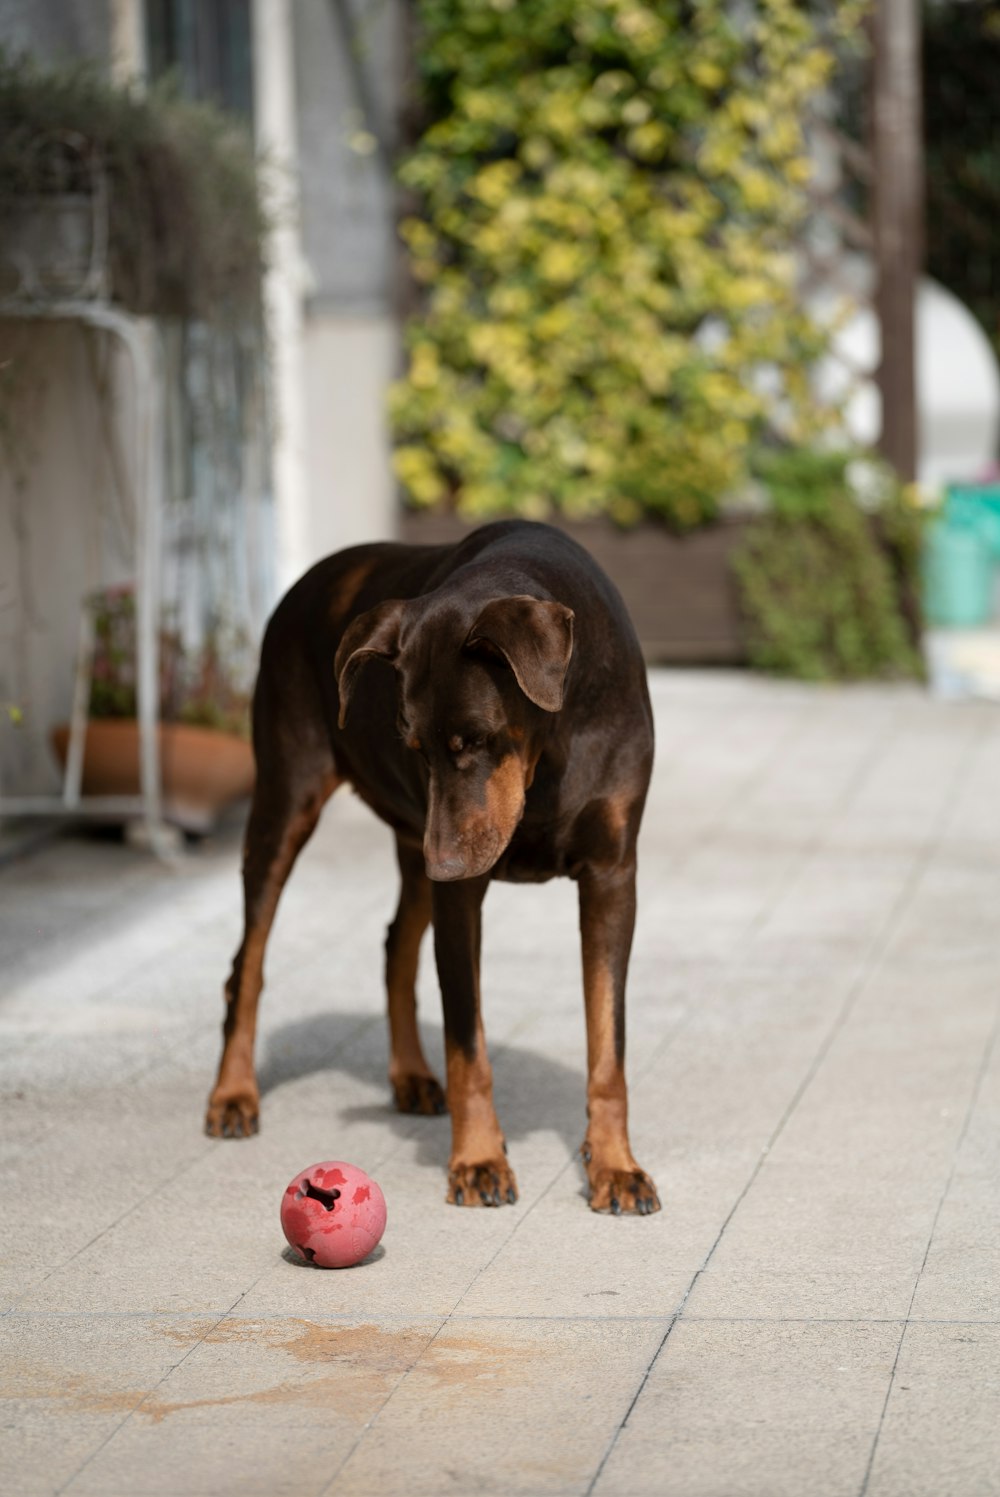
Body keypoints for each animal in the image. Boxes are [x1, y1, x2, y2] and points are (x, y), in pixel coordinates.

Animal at [206, 520, 658, 1209]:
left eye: (474, 739)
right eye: (415, 747)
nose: (442, 864)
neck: (551, 752)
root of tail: (304, 581)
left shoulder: (612, 876)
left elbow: (609, 1043)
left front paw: (614, 1165)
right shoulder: (461, 893)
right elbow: (467, 1042)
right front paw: (477, 1160)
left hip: (412, 844)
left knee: (397, 944)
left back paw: (411, 1074)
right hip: (293, 807)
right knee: (247, 962)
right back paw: (233, 1093)